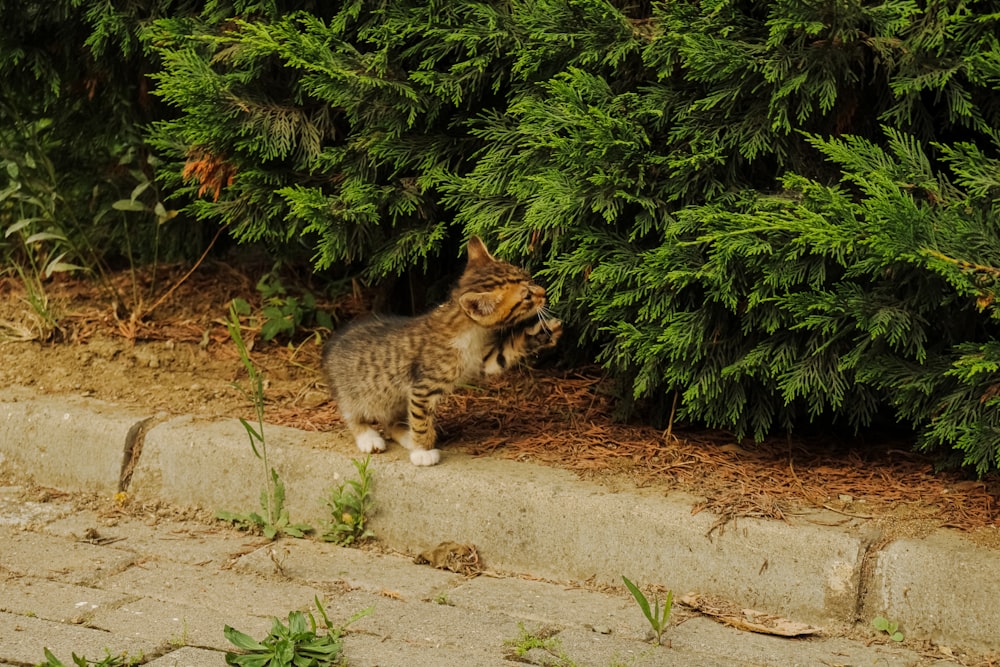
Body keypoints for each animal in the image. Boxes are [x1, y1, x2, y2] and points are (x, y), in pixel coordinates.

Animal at [324, 237, 560, 468]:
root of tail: (331, 345)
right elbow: (421, 421)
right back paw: (368, 437)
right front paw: (422, 451)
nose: (544, 293)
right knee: (352, 415)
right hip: (354, 394)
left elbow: (505, 353)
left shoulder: (482, 360)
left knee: (391, 422)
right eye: (527, 297)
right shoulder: (422, 388)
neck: (469, 330)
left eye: (530, 278)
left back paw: (405, 435)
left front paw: (543, 332)